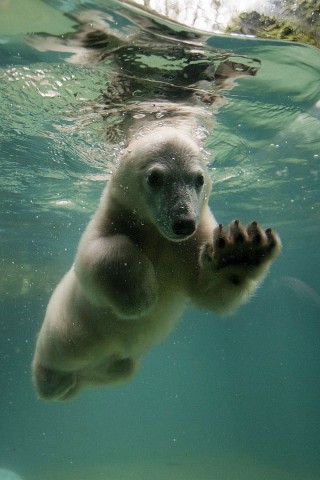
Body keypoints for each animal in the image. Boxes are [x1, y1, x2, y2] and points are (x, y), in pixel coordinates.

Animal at [31, 127, 280, 402]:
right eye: (154, 177)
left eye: (199, 179)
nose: (184, 222)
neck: (158, 237)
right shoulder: (113, 218)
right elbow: (96, 255)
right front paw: (141, 294)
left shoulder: (188, 245)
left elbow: (209, 290)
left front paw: (240, 250)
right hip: (65, 336)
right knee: (53, 368)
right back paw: (51, 380)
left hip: (112, 363)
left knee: (115, 371)